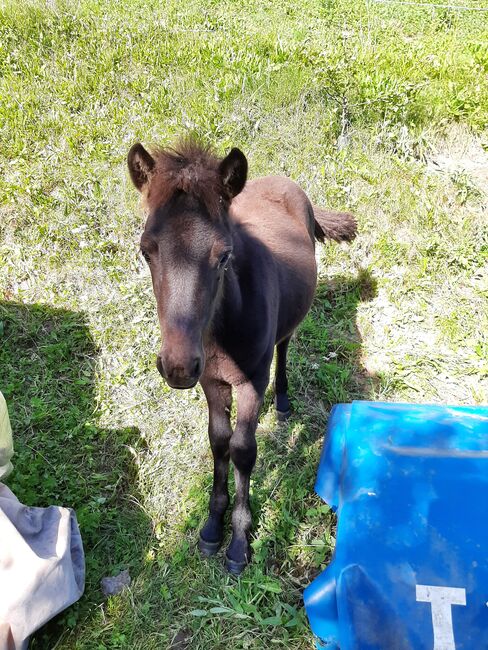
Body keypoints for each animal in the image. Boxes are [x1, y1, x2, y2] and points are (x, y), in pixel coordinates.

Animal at [126, 138, 356, 572]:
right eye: (146, 251)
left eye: (223, 255)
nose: (178, 366)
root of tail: (285, 182)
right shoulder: (211, 381)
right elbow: (219, 441)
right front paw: (212, 526)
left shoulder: (250, 383)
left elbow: (243, 451)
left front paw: (238, 542)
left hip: (285, 333)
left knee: (284, 347)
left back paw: (282, 402)